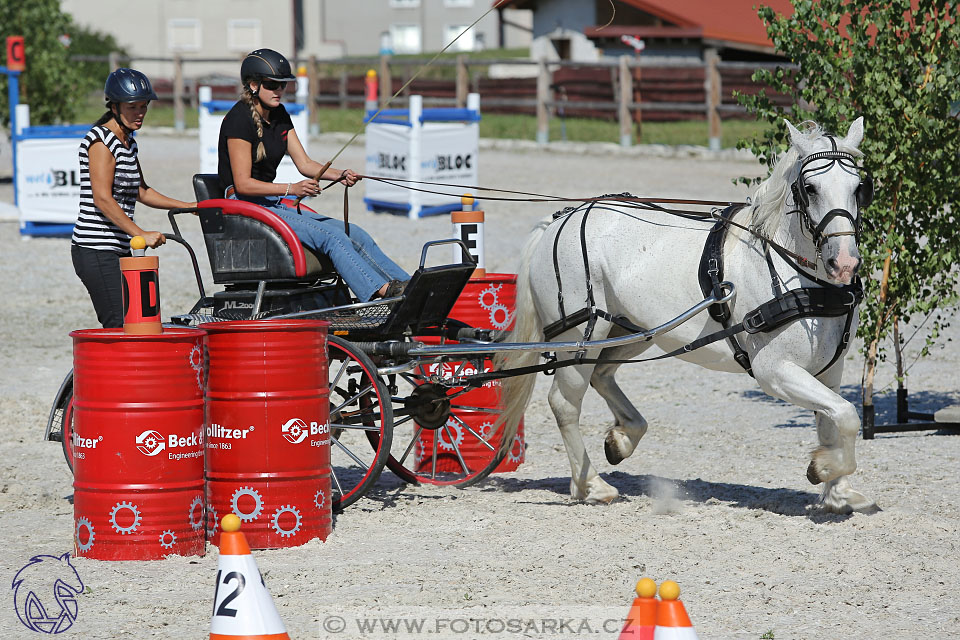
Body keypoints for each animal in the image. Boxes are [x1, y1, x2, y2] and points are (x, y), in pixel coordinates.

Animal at [496, 116, 876, 516]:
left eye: (859, 187)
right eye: (810, 188)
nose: (843, 262)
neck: (792, 271)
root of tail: (559, 220)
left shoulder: (829, 371)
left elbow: (835, 421)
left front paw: (839, 492)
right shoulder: (775, 372)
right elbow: (847, 416)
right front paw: (824, 468)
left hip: (633, 331)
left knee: (602, 375)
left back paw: (622, 438)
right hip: (582, 337)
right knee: (565, 403)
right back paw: (591, 485)